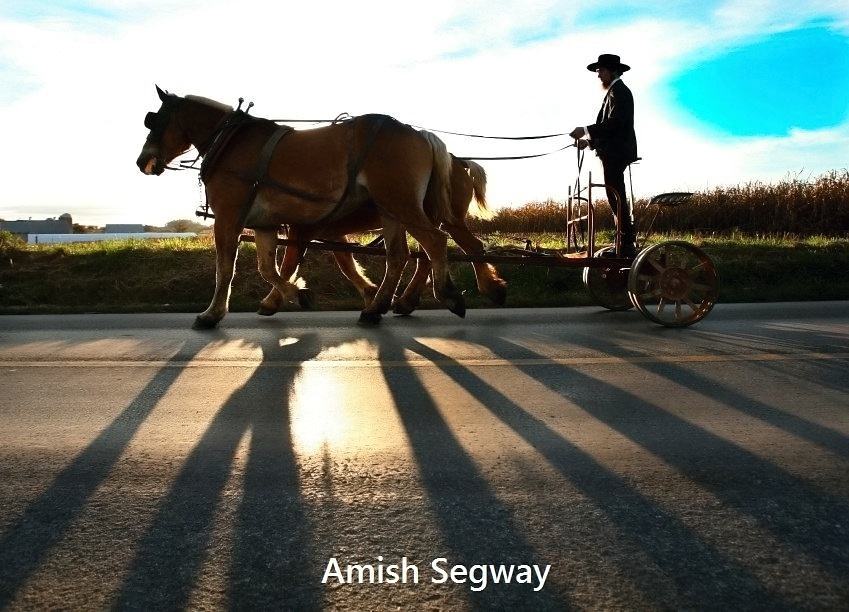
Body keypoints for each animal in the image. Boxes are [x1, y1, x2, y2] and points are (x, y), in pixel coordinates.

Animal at [136, 86, 464, 330]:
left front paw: (211, 315)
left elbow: (225, 269)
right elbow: (267, 267)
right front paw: (296, 294)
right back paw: (376, 309)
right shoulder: (264, 224)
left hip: (401, 203)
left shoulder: (228, 217)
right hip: (389, 210)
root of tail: (420, 134)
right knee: (398, 256)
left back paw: (446, 295)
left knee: (435, 242)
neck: (230, 142)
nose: (143, 162)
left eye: (155, 120)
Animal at [252, 155, 504, 316]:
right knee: (442, 252)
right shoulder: (331, 233)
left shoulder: (302, 230)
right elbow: (346, 264)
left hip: (436, 218)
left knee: (452, 249)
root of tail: (458, 161)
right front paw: (369, 291)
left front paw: (273, 301)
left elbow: (286, 266)